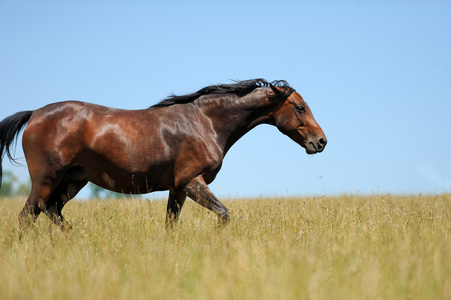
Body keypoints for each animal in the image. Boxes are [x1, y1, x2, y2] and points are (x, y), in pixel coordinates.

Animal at [0, 78, 324, 229]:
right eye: (299, 107)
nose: (321, 142)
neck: (205, 122)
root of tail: (34, 114)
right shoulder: (192, 182)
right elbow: (224, 214)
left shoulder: (177, 188)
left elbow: (171, 224)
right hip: (46, 179)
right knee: (28, 216)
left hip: (73, 181)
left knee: (51, 211)